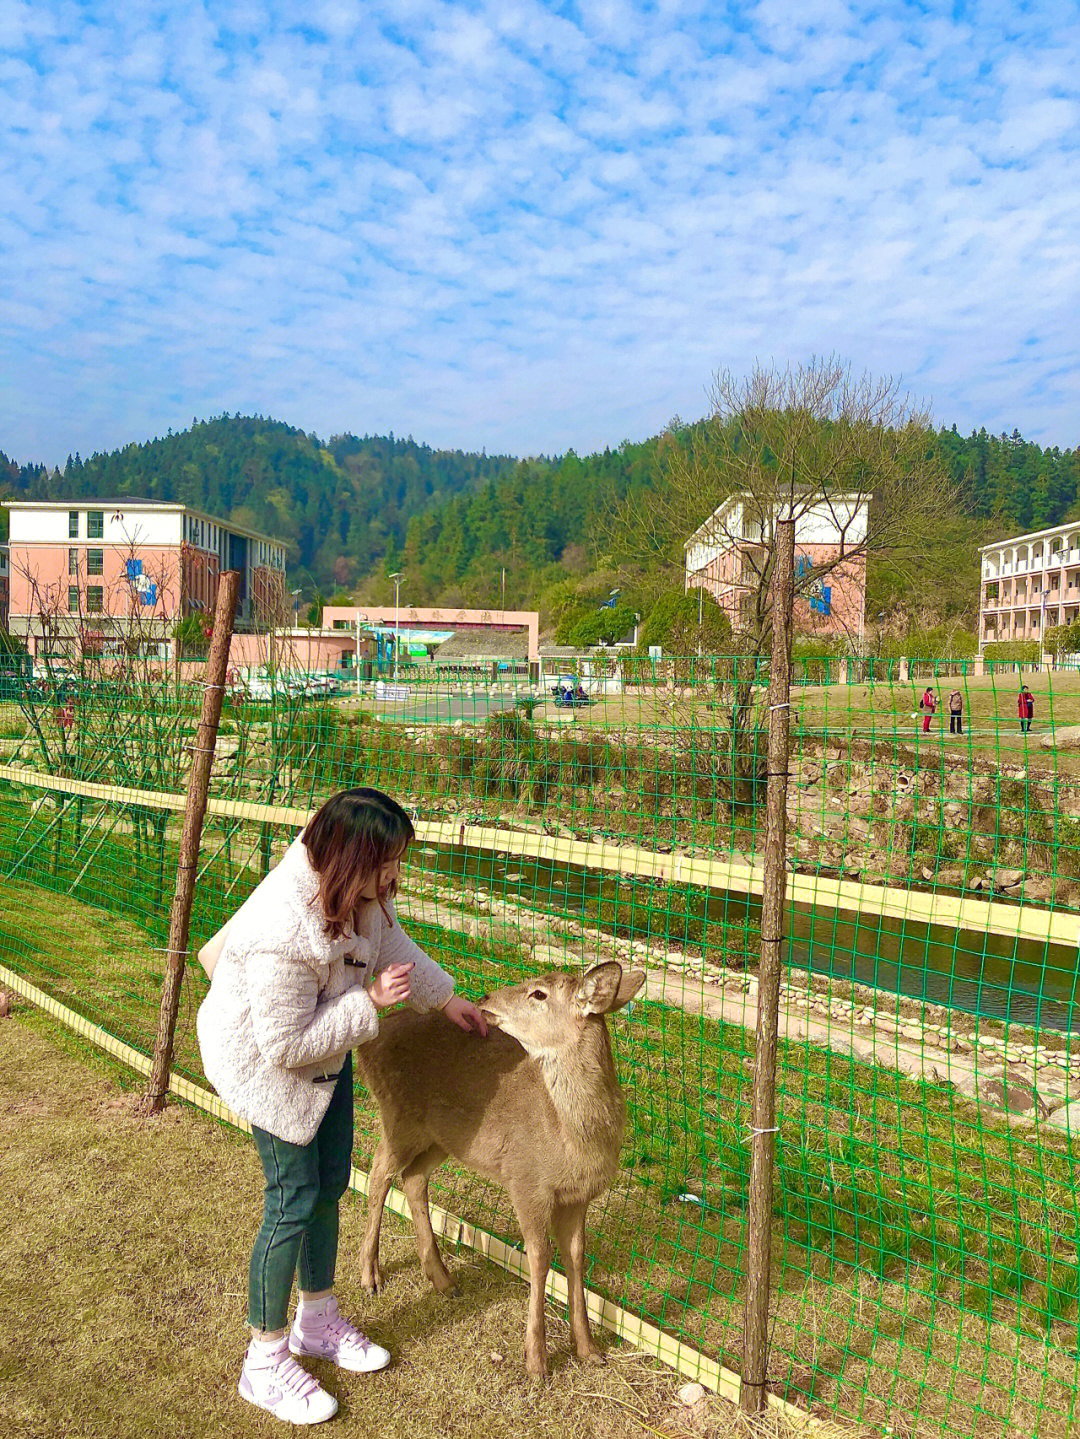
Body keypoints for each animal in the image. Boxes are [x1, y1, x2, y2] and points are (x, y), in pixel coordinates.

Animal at [356, 961, 641, 1375]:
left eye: (539, 993)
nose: (486, 997)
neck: (571, 1140)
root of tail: (368, 1043)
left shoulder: (579, 1197)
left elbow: (576, 1258)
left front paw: (589, 1349)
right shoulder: (525, 1180)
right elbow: (539, 1258)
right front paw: (536, 1360)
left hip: (443, 1137)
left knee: (412, 1178)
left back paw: (443, 1279)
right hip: (398, 1117)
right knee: (379, 1174)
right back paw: (370, 1275)